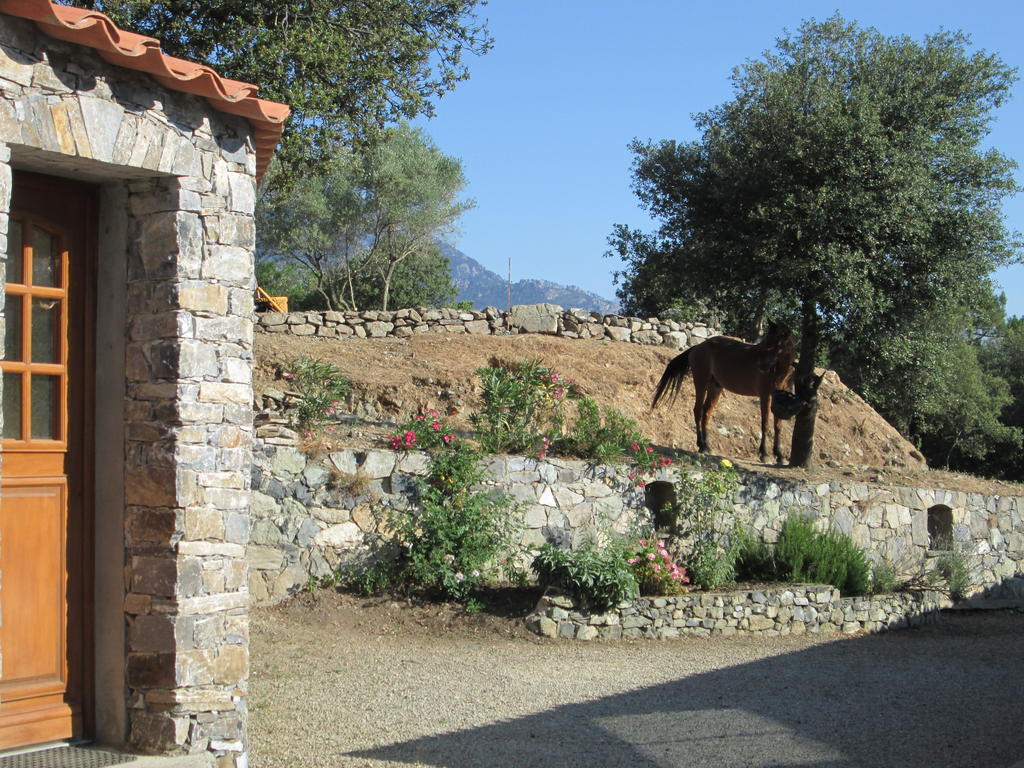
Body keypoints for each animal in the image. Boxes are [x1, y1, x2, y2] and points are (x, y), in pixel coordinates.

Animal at [651, 323, 794, 462]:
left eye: (779, 344)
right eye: (766, 341)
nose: (761, 366)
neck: (777, 372)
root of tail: (697, 347)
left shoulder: (778, 399)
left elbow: (778, 426)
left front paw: (779, 455)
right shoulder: (765, 396)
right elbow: (765, 424)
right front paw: (764, 454)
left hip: (715, 388)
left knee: (706, 413)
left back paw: (707, 446)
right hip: (701, 382)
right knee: (698, 411)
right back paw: (702, 446)